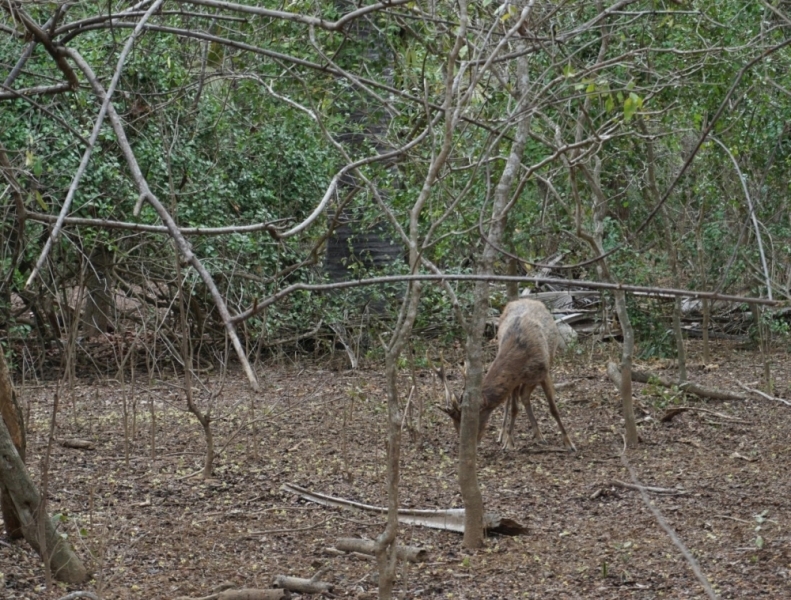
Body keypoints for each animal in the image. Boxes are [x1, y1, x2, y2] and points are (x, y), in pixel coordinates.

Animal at [440, 298, 576, 452]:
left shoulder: (544, 373)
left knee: (524, 396)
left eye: (470, 419)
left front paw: (569, 442)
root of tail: (525, 299)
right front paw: (509, 442)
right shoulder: (517, 379)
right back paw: (504, 435)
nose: (469, 441)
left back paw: (538, 435)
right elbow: (514, 409)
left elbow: (553, 409)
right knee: (515, 400)